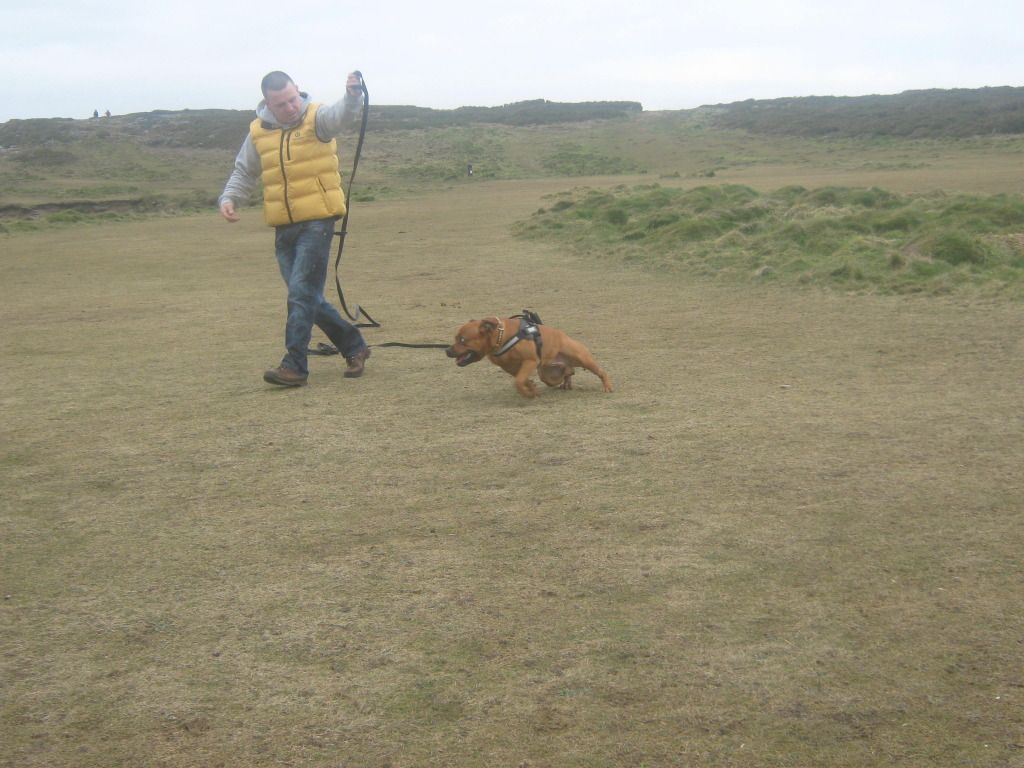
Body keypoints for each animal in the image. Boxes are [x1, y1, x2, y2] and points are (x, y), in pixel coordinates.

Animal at [444, 313, 610, 399]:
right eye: (456, 338)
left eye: (462, 340)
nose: (447, 350)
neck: (501, 337)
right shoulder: (510, 367)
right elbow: (522, 379)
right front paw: (532, 389)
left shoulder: (529, 361)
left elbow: (518, 382)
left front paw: (528, 393)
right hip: (547, 373)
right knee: (568, 371)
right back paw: (566, 381)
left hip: (582, 358)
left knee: (601, 371)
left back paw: (607, 386)